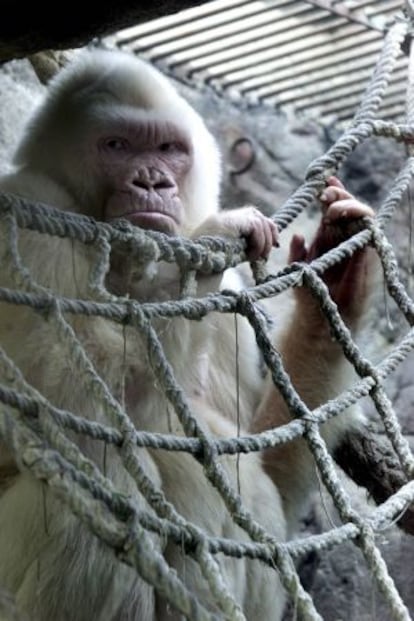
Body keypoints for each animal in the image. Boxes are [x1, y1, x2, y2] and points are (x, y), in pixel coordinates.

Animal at [0, 49, 376, 620]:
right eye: (117, 145)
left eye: (167, 150)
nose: (154, 182)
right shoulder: (25, 216)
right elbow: (76, 396)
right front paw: (216, 235)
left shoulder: (229, 311)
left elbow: (260, 458)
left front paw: (332, 286)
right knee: (102, 470)